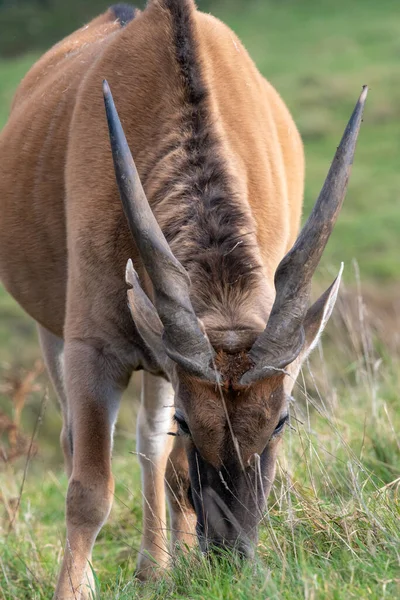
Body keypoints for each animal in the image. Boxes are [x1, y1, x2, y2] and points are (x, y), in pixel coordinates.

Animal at [0, 0, 368, 596]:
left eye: (282, 420)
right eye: (190, 423)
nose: (231, 554)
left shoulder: (169, 361)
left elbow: (169, 465)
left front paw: (180, 566)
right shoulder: (93, 350)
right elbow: (88, 489)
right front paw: (73, 587)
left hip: (154, 361)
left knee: (150, 446)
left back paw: (154, 565)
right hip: (52, 331)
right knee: (74, 440)